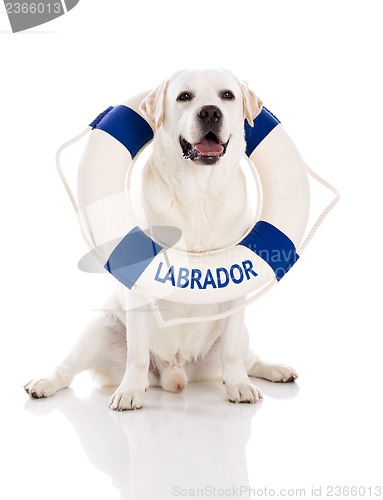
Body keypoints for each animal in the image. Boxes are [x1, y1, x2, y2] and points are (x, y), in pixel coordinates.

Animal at [24, 67, 300, 410]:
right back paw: (45, 383)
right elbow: (137, 353)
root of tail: (176, 371)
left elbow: (233, 352)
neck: (199, 192)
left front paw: (238, 385)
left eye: (227, 95)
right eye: (184, 96)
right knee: (69, 366)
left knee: (247, 357)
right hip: (100, 330)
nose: (210, 112)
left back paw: (275, 370)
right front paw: (130, 390)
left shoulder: (237, 294)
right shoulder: (139, 289)